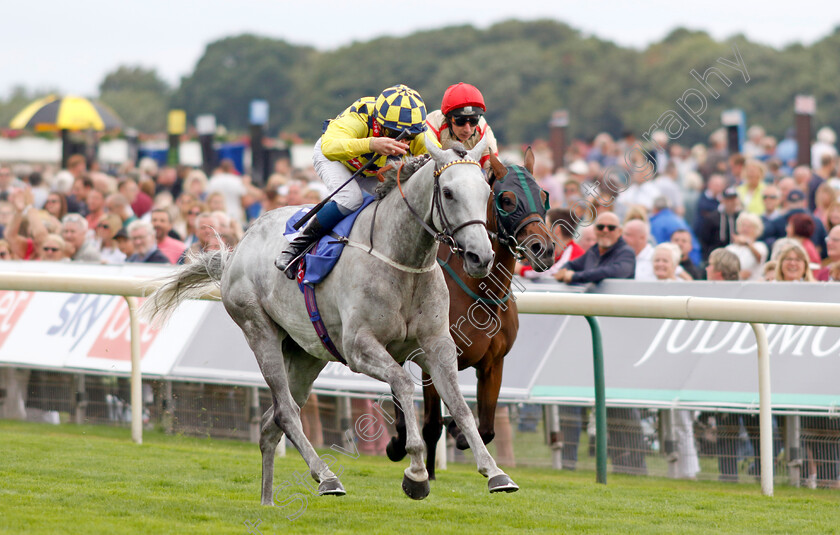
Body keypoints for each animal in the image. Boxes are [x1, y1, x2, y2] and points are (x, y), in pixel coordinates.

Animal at [144, 136, 520, 504]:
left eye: (487, 193)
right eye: (449, 193)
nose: (480, 257)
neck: (402, 261)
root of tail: (239, 246)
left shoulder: (437, 345)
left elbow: (459, 405)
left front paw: (495, 473)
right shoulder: (359, 347)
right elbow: (403, 383)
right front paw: (415, 473)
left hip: (306, 354)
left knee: (270, 421)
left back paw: (268, 500)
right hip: (259, 330)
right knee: (285, 412)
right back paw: (326, 477)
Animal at [388, 149, 556, 480]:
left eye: (543, 195)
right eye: (506, 200)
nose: (543, 248)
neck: (481, 295)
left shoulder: (493, 363)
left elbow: (487, 428)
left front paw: (461, 432)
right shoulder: (432, 360)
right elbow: (431, 425)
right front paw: (429, 471)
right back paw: (397, 443)